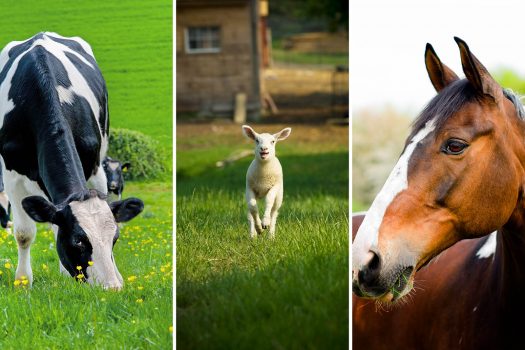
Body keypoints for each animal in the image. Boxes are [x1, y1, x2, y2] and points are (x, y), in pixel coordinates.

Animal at [0, 32, 143, 290]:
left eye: (115, 238)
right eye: (78, 241)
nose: (112, 287)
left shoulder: (95, 166)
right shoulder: (11, 176)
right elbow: (24, 233)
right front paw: (23, 281)